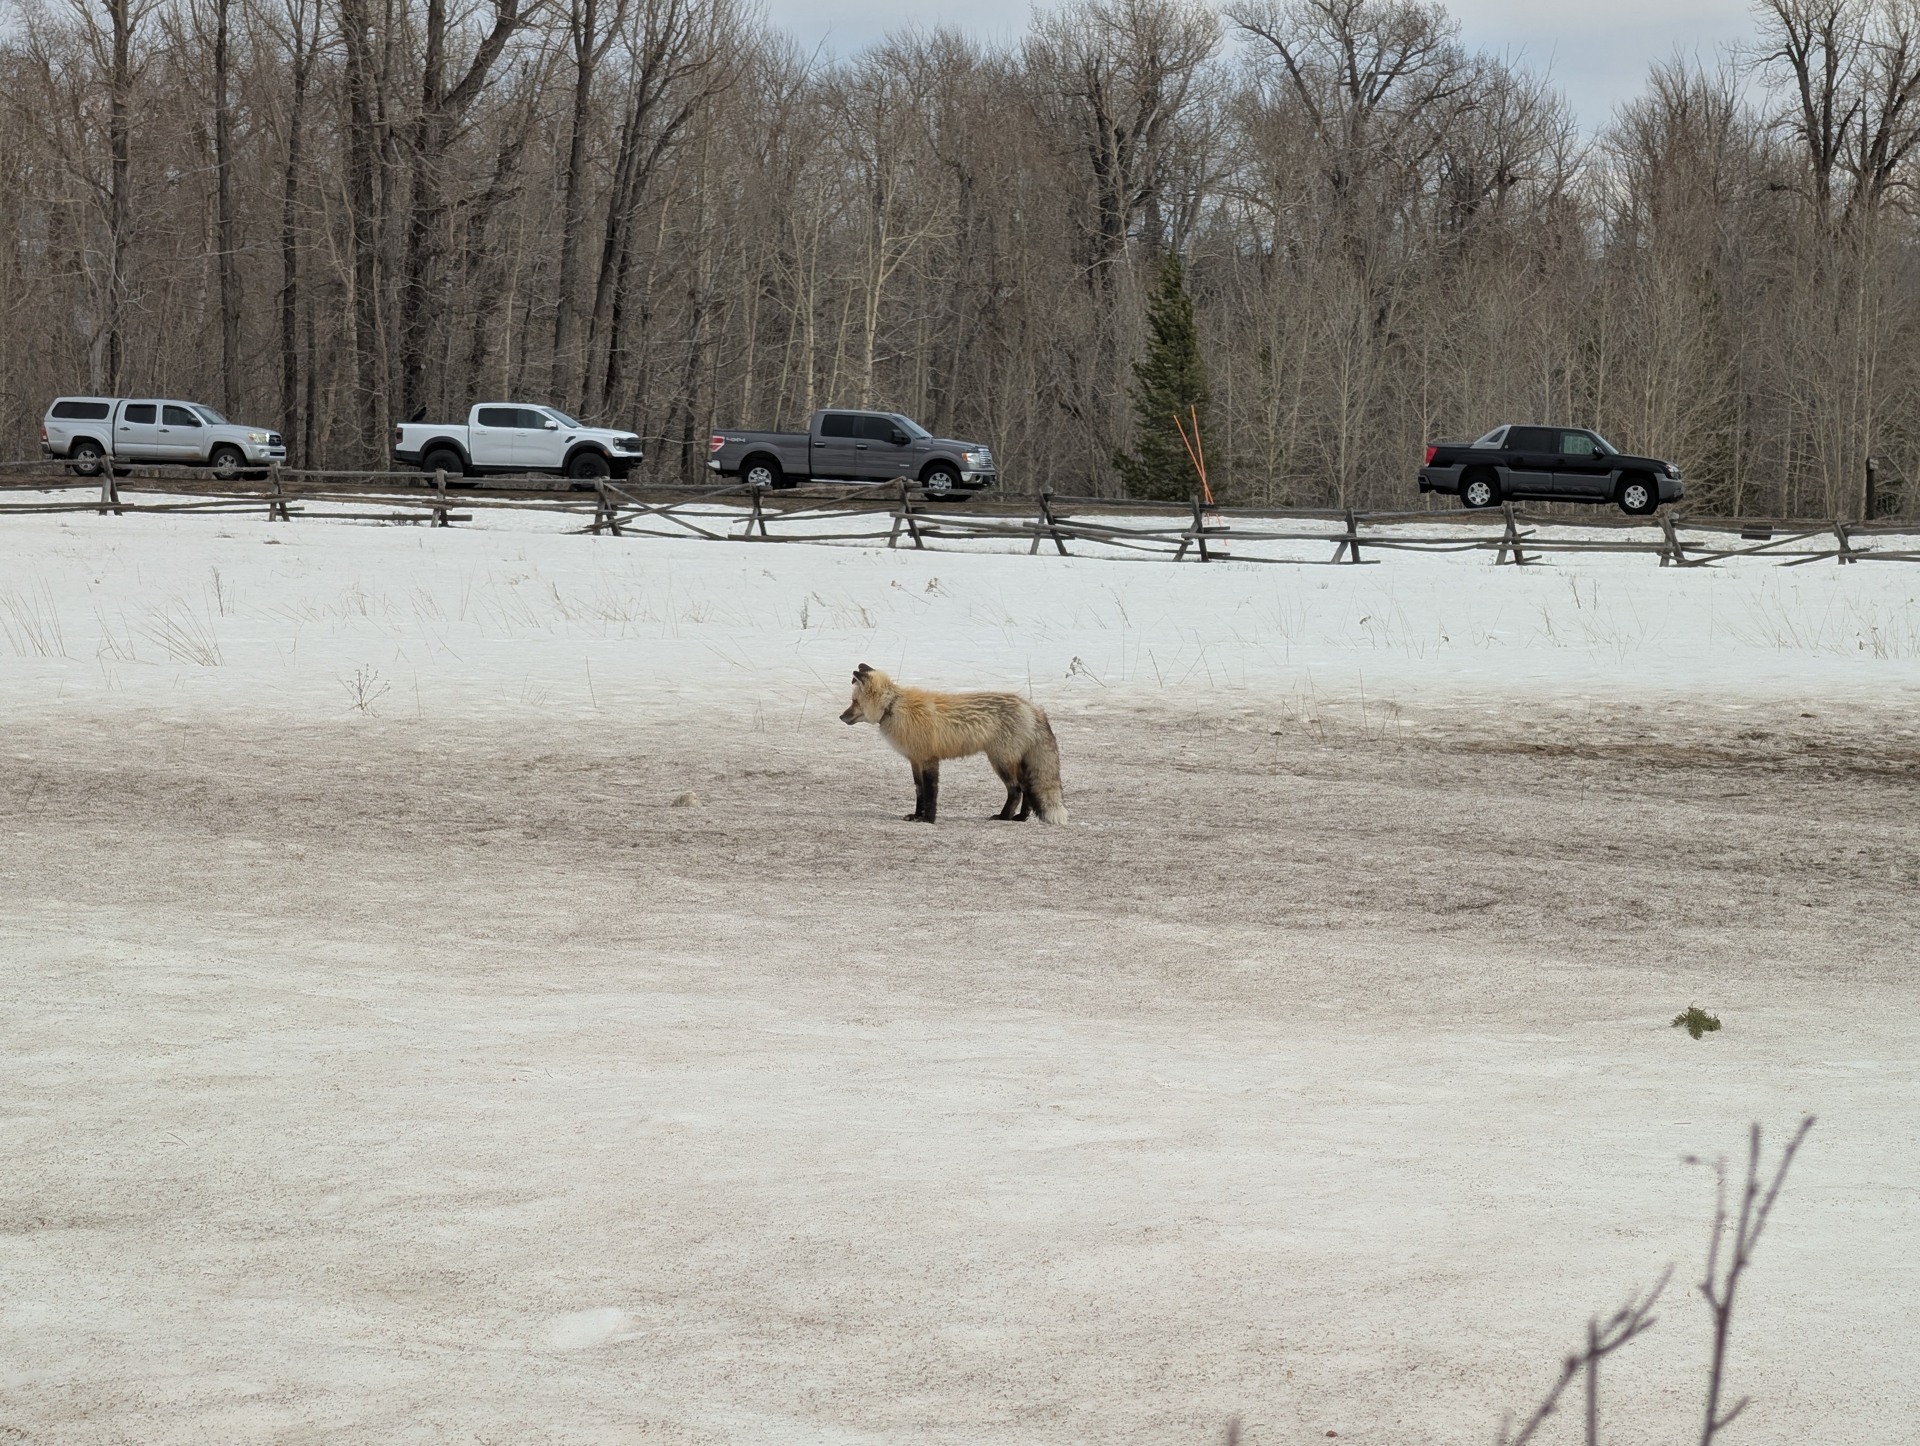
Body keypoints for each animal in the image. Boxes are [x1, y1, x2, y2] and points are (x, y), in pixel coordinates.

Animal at [839, 663, 1068, 825]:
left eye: (854, 702)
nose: (841, 717)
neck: (893, 706)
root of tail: (1031, 706)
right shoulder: (915, 760)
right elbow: (919, 792)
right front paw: (917, 816)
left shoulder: (929, 759)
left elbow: (931, 793)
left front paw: (928, 819)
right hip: (1011, 760)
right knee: (1027, 789)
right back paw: (1021, 818)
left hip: (1000, 760)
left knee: (1016, 790)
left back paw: (1004, 817)